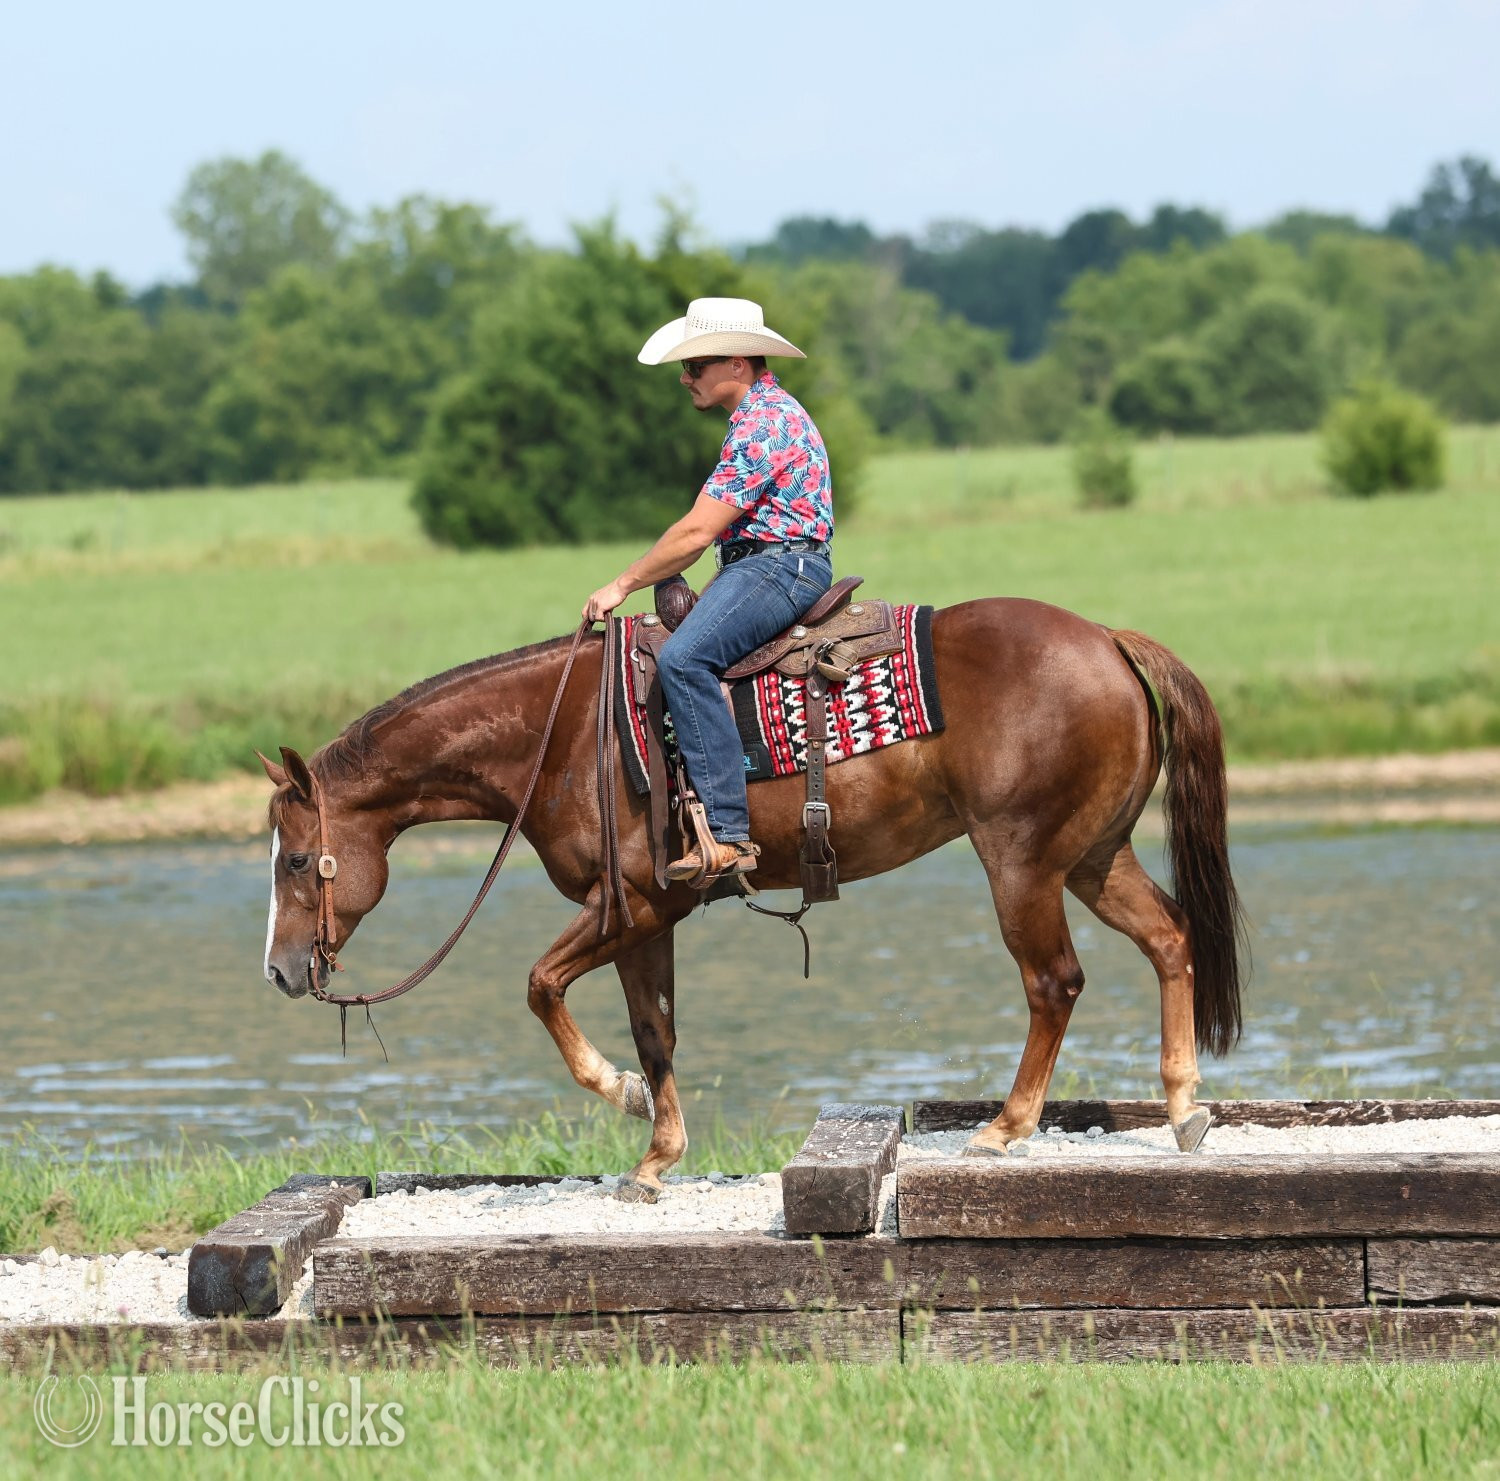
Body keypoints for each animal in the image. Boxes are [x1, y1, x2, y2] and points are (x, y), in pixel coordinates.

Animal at [259, 596, 1246, 1201]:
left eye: (299, 858)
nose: (278, 970)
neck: (566, 732)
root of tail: (1109, 638)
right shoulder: (646, 919)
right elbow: (654, 1029)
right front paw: (656, 1158)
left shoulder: (630, 904)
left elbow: (541, 984)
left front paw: (621, 1097)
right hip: (1093, 855)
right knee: (1171, 938)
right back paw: (1184, 1108)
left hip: (1022, 861)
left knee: (1054, 982)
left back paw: (1006, 1129)